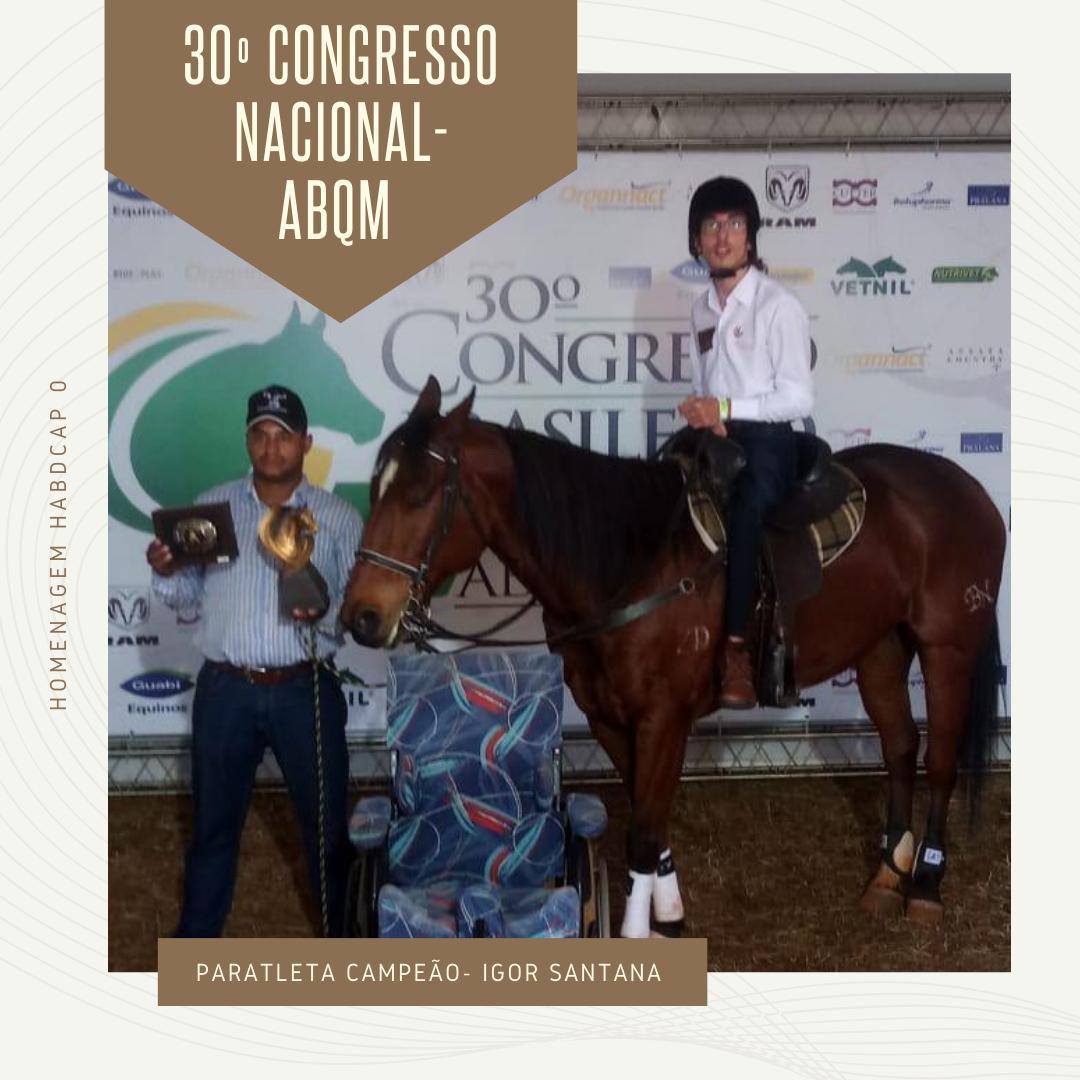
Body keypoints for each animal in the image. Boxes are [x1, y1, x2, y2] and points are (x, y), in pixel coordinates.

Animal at [341, 377, 1007, 938]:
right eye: (375, 489)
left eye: (422, 495)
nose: (362, 617)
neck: (629, 565)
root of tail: (970, 489)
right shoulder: (608, 718)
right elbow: (646, 811)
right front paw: (668, 906)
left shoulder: (664, 718)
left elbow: (642, 830)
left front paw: (640, 928)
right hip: (879, 648)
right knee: (899, 747)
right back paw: (887, 875)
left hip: (947, 647)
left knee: (940, 762)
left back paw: (925, 885)